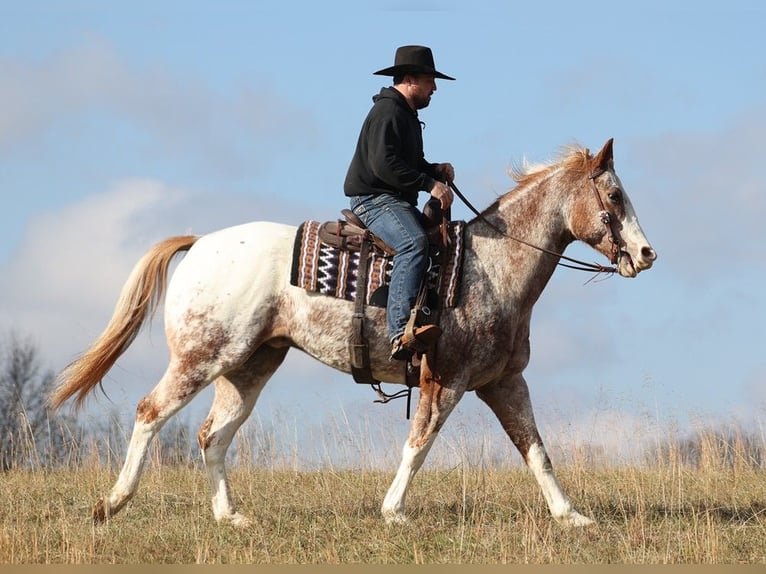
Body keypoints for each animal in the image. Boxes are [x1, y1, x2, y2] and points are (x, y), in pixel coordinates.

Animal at [49, 138, 660, 528]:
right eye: (614, 196)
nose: (646, 254)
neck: (490, 267)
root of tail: (199, 243)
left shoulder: (503, 383)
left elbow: (535, 449)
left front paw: (571, 516)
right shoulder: (447, 380)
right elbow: (419, 443)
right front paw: (394, 512)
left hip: (249, 365)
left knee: (212, 436)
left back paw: (230, 517)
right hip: (201, 358)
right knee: (151, 413)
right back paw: (112, 504)